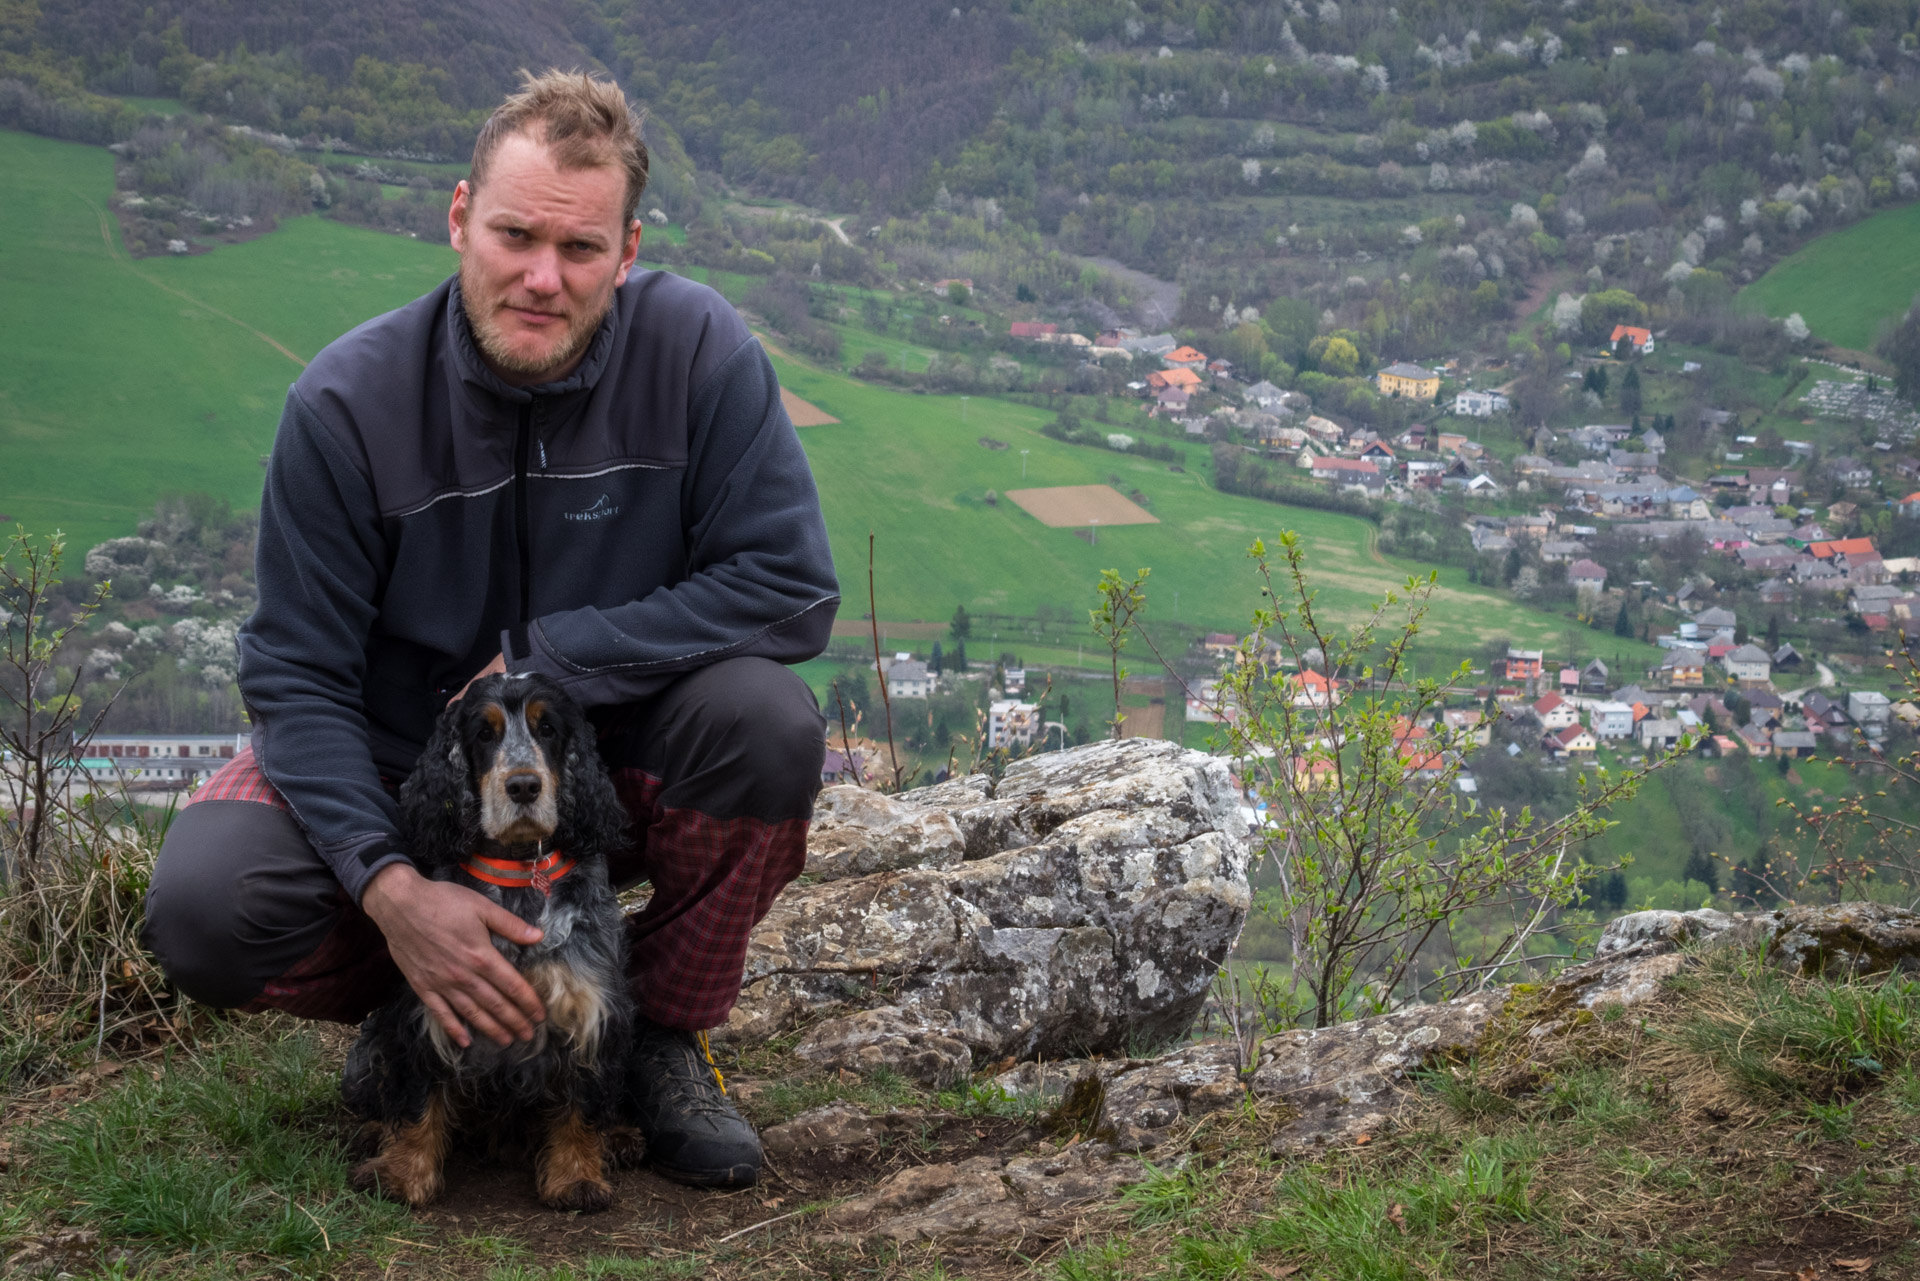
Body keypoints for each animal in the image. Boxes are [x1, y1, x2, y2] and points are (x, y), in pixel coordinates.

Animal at [341, 672, 633, 1213]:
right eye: (484, 734)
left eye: (547, 729)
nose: (523, 785)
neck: (517, 874)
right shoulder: (431, 1003)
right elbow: (416, 1098)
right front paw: (400, 1174)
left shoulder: (590, 1007)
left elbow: (582, 1102)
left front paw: (577, 1177)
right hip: (368, 1054)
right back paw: (373, 1131)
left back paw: (622, 1137)